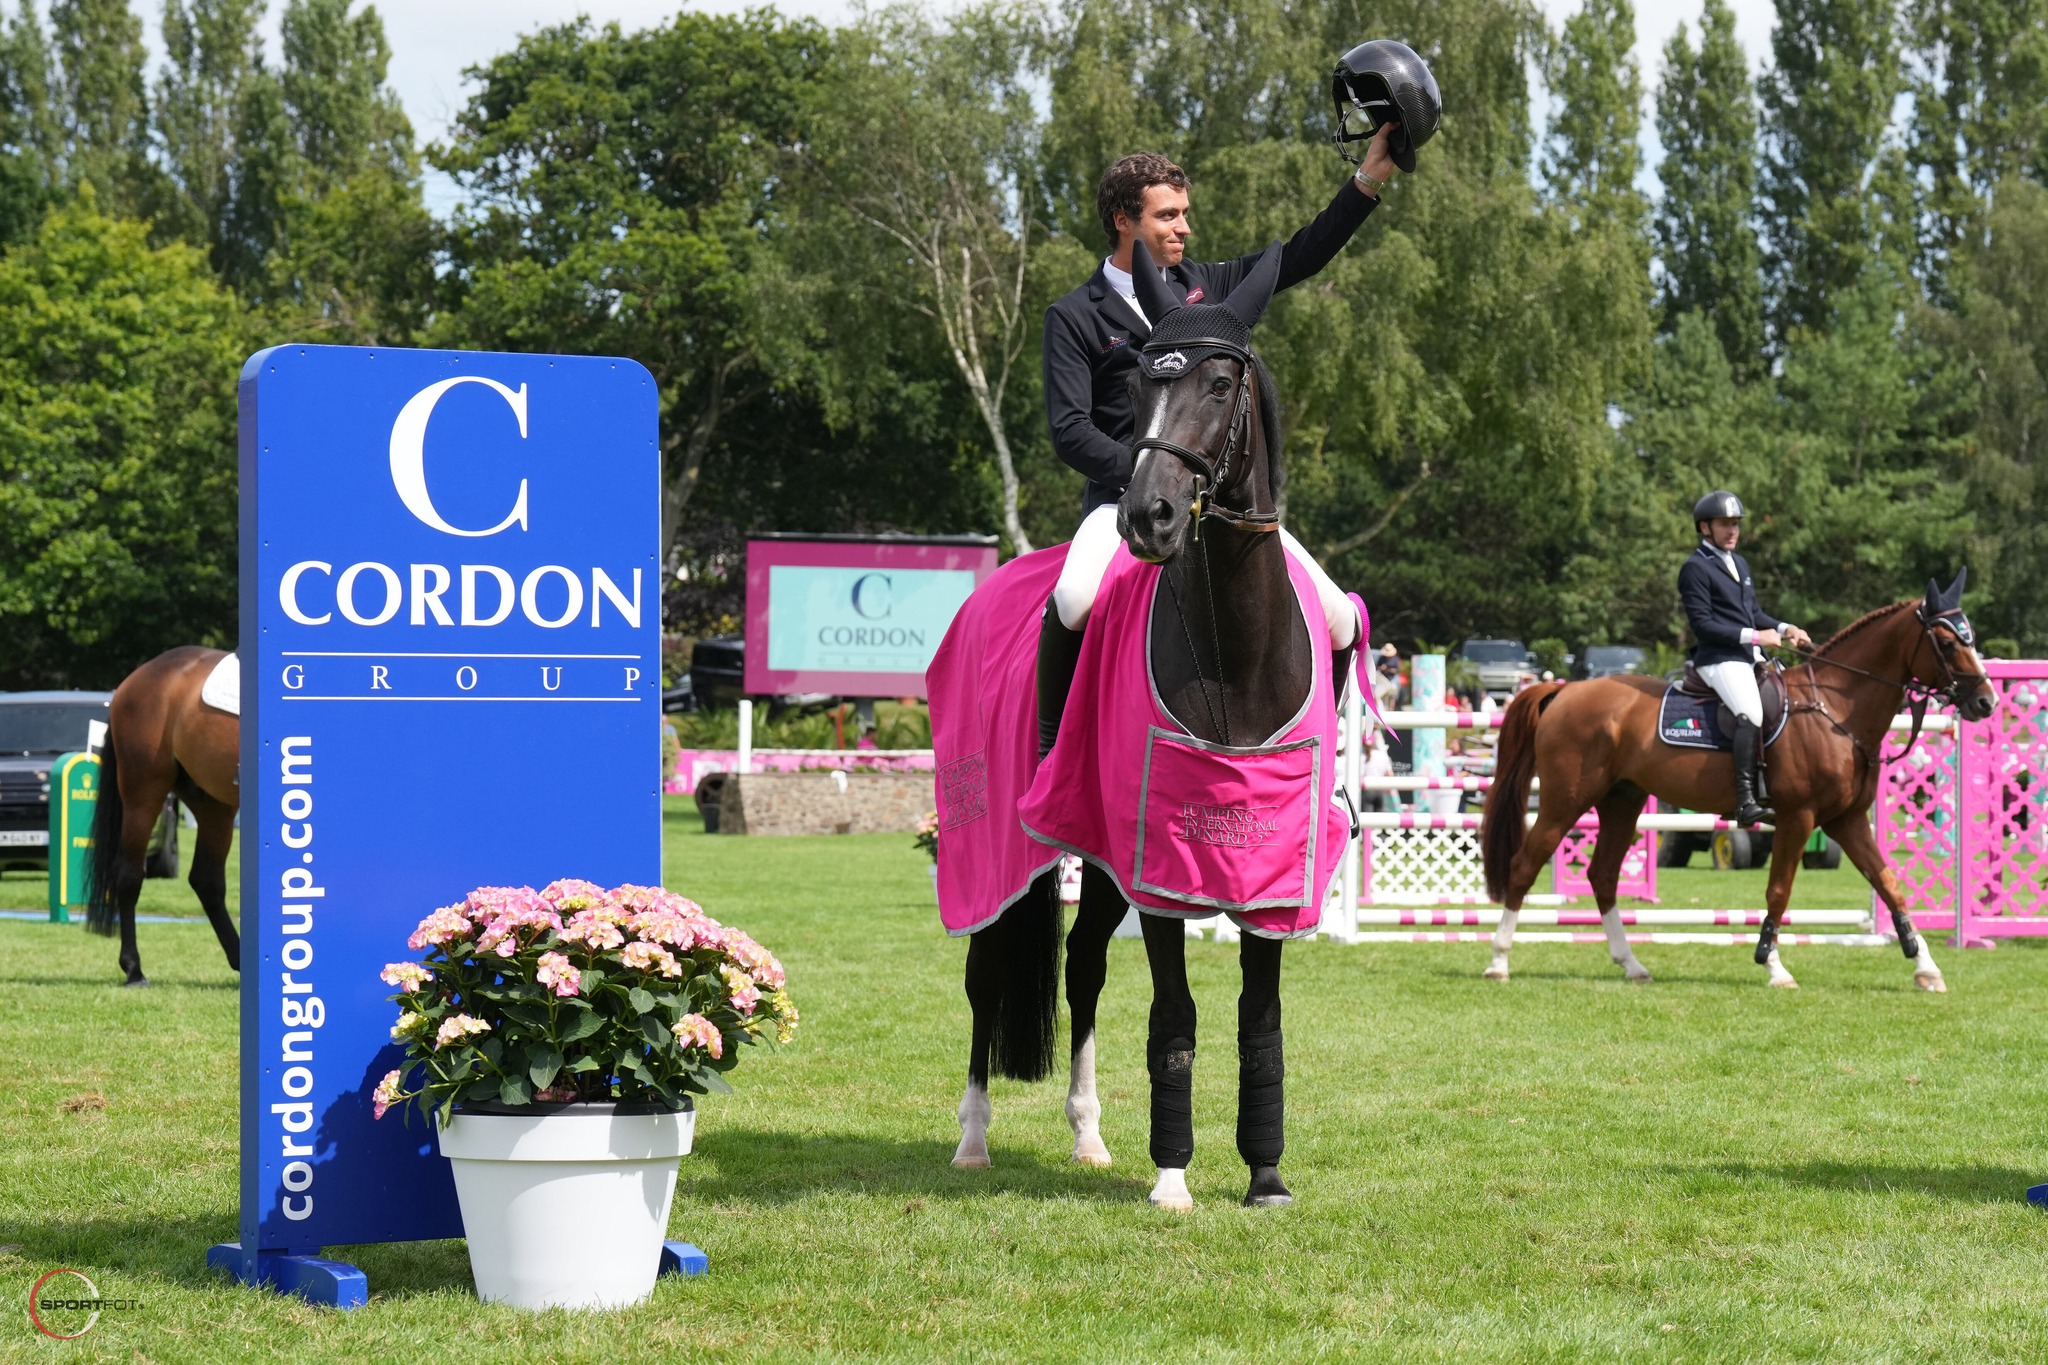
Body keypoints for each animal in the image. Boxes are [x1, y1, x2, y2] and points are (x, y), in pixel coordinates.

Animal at [1482, 577, 1990, 994]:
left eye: (1972, 637)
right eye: (1947, 642)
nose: (1987, 701)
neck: (1834, 711)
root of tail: (1565, 689)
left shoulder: (1845, 821)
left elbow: (1889, 883)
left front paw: (1926, 968)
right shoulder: (1797, 818)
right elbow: (1779, 891)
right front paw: (1774, 966)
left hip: (1621, 802)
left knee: (1602, 874)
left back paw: (1631, 965)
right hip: (1564, 801)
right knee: (1524, 865)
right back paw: (1499, 962)